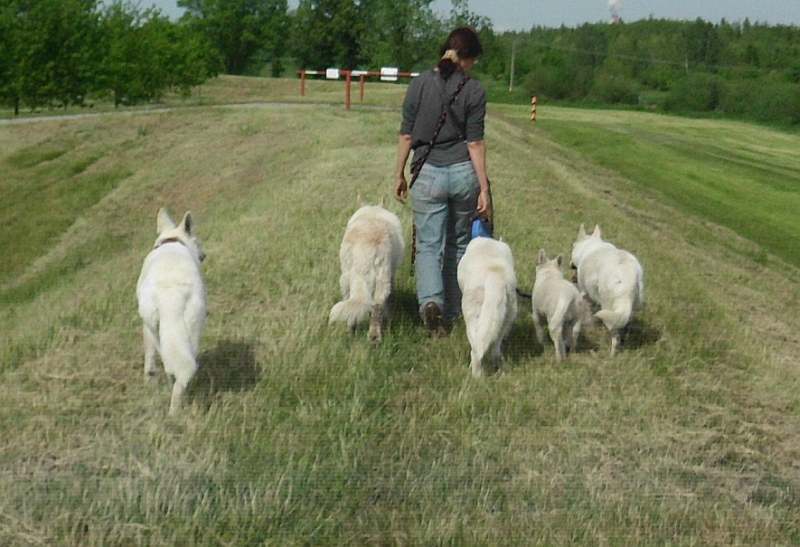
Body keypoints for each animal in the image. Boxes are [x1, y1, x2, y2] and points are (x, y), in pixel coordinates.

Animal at [134, 208, 205, 414]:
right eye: (197, 241)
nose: (203, 256)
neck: (172, 241)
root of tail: (171, 297)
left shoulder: (147, 328)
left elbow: (149, 357)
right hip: (191, 331)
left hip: (158, 331)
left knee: (170, 370)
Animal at [328, 201, 404, 342]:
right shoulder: (391, 274)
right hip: (382, 279)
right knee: (377, 306)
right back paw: (374, 336)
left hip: (345, 278)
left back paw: (351, 331)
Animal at [456, 238, 520, 378]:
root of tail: (494, 277)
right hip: (506, 317)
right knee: (495, 350)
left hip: (472, 316)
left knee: (475, 351)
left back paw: (476, 376)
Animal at [568, 225, 644, 358]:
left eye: (572, 246)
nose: (570, 264)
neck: (590, 246)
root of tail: (629, 278)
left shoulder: (583, 292)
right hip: (629, 310)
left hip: (608, 307)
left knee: (615, 337)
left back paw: (612, 355)